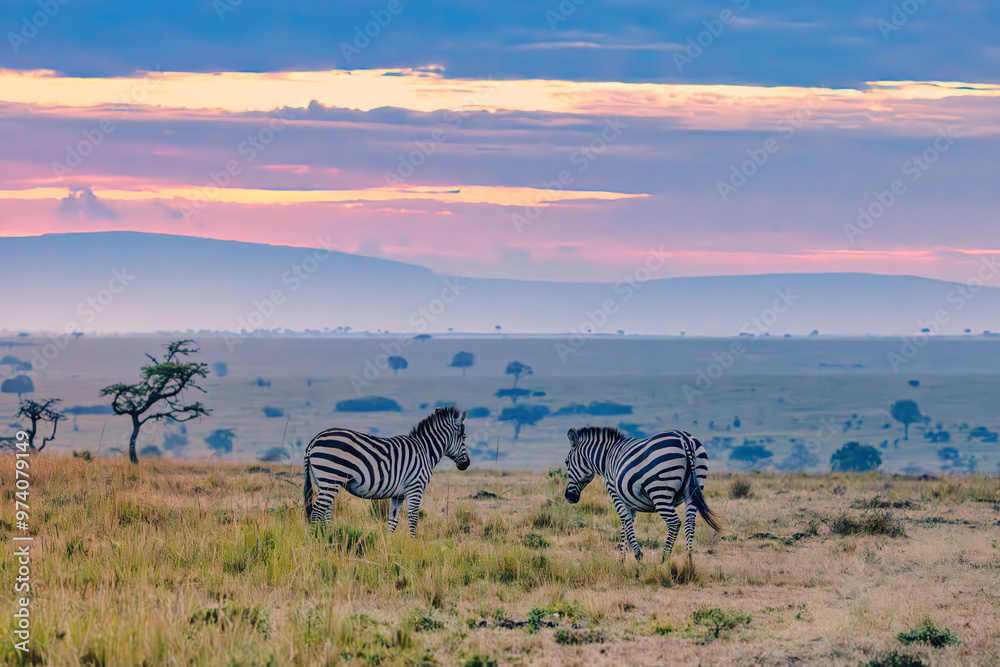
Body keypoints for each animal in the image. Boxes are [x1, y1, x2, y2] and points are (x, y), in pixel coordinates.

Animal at [303, 406, 471, 536]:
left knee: (325, 511)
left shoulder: (398, 495)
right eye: (463, 437)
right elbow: (413, 519)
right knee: (317, 511)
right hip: (331, 477)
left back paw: (329, 538)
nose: (467, 464)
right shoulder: (415, 487)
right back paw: (316, 540)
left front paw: (389, 548)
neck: (425, 450)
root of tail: (314, 440)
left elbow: (392, 521)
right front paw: (413, 545)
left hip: (323, 482)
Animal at [563, 426, 720, 562]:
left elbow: (626, 523)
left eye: (566, 462)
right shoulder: (629, 500)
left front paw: (638, 556)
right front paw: (622, 560)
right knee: (690, 524)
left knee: (674, 523)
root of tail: (685, 439)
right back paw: (688, 561)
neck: (607, 457)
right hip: (694, 488)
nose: (568, 497)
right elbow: (625, 527)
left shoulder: (615, 494)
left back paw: (664, 560)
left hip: (660, 491)